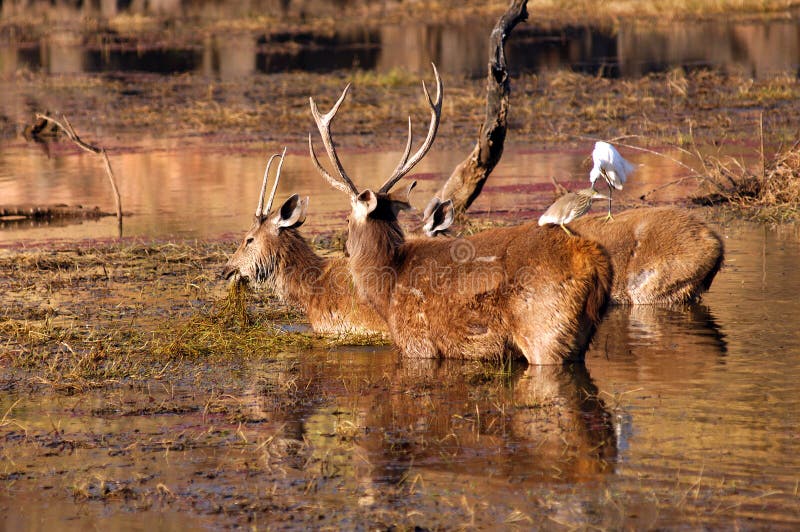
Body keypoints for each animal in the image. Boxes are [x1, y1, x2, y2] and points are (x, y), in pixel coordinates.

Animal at [308, 64, 612, 366]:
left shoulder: (419, 344)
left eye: (347, 219)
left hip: (544, 331)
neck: (388, 285)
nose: (344, 249)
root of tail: (594, 263)